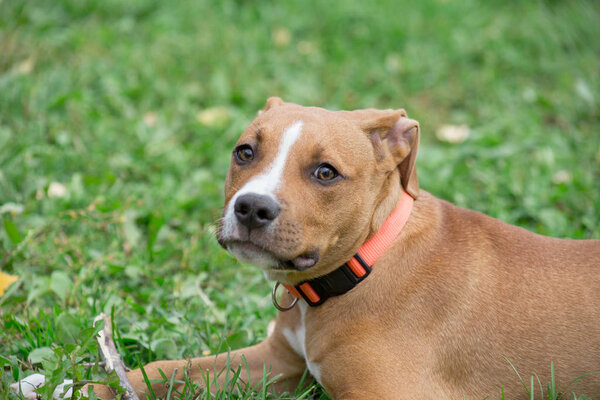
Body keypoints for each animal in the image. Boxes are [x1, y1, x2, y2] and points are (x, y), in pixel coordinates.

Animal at [11, 98, 596, 398]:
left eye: (325, 172)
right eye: (244, 152)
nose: (251, 208)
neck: (364, 266)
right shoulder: (277, 360)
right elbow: (162, 370)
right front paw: (68, 385)